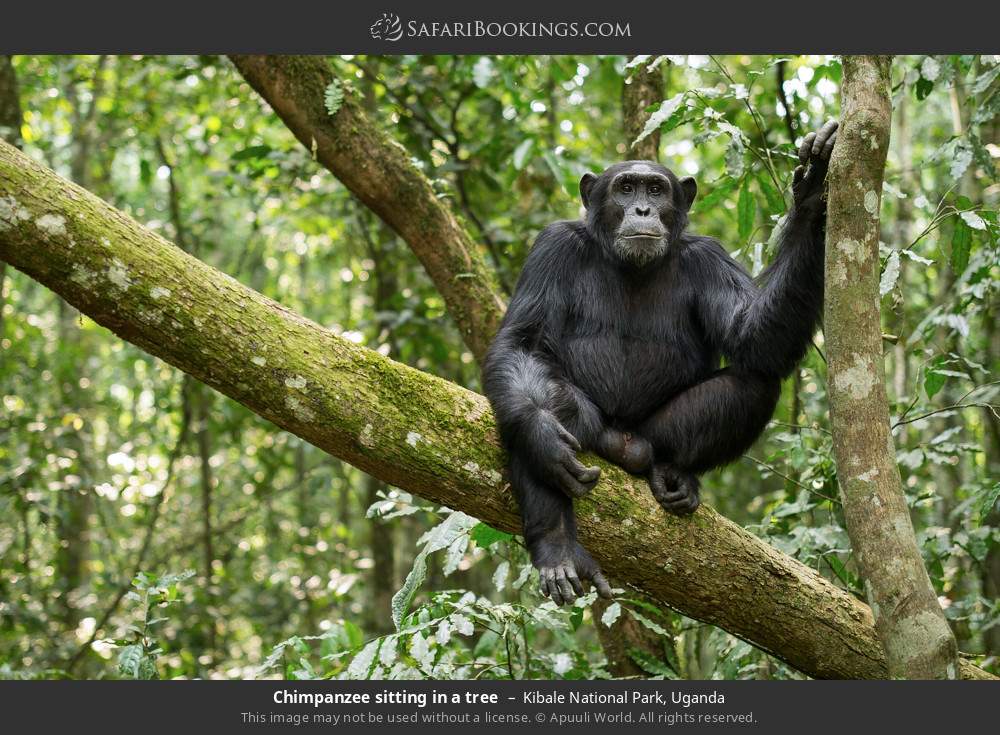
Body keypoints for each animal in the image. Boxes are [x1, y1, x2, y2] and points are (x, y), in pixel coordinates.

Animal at [480, 121, 840, 604]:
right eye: (625, 187)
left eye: (655, 188)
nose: (642, 209)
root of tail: (624, 441)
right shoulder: (552, 247)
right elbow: (523, 343)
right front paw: (543, 437)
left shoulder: (708, 257)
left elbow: (753, 338)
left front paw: (813, 190)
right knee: (543, 405)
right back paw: (556, 546)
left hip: (653, 435)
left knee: (755, 382)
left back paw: (674, 472)